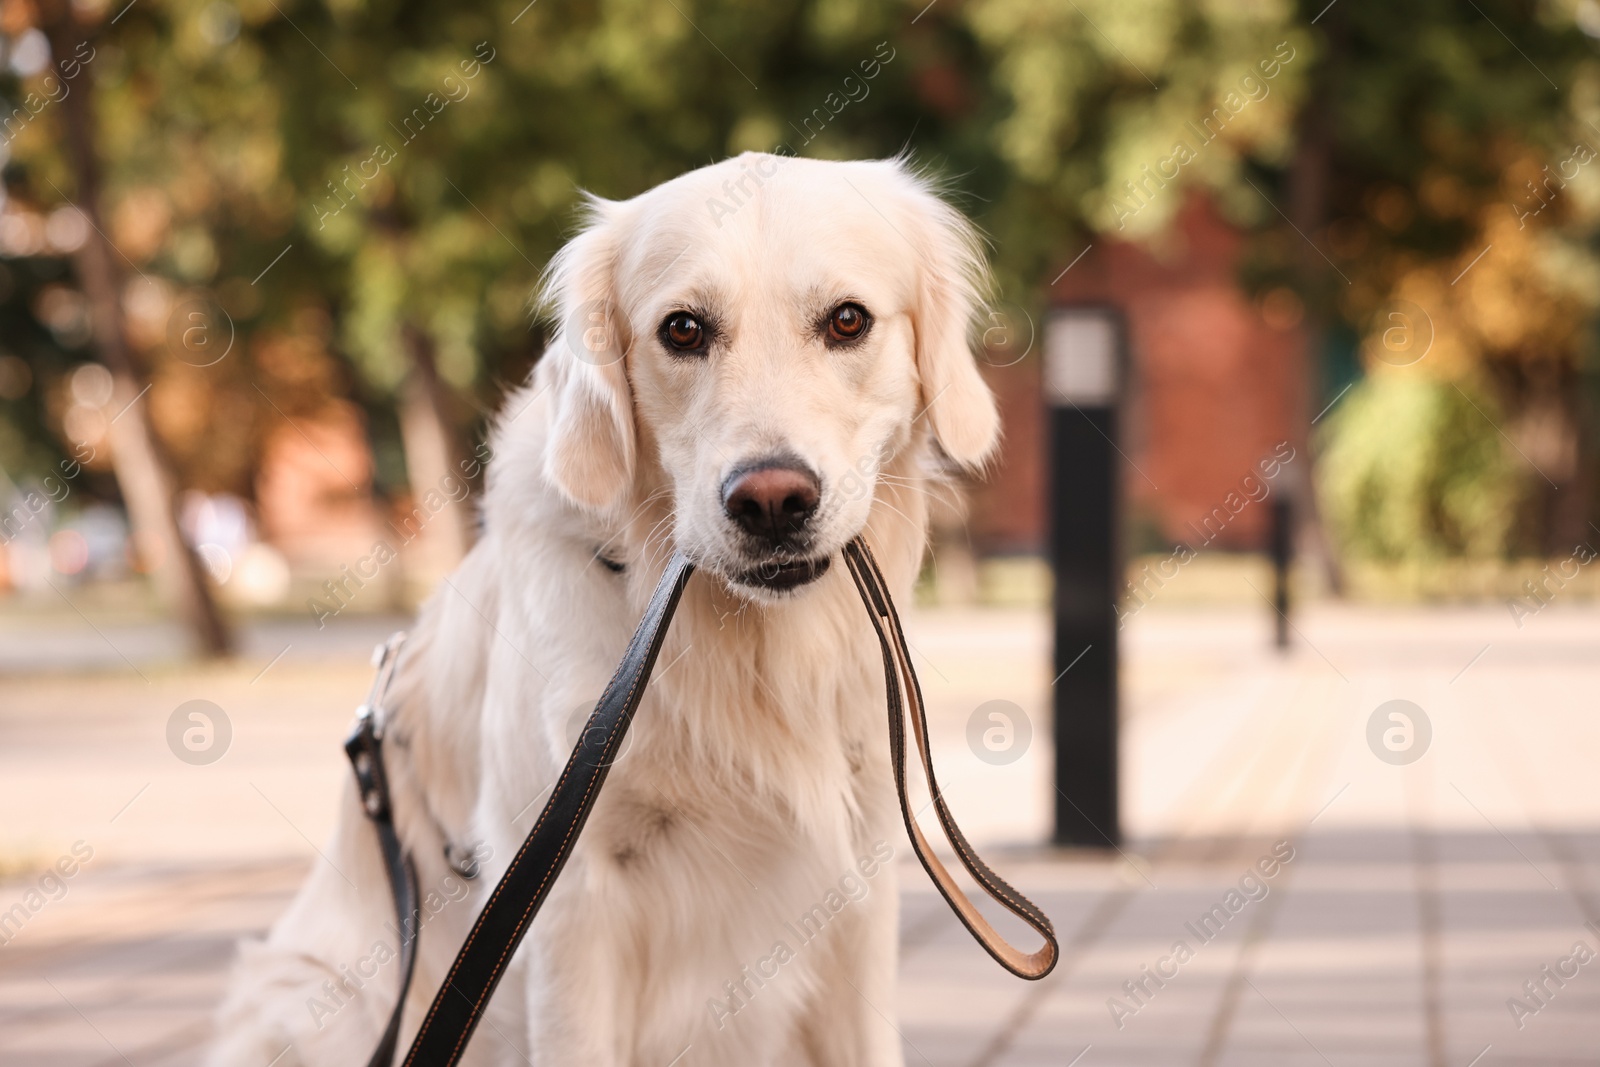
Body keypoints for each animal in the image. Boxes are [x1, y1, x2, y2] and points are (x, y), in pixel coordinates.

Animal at [206, 151, 992, 1067]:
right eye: (682, 330)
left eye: (847, 320)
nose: (770, 501)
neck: (740, 649)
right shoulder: (567, 900)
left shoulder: (856, 882)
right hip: (307, 1006)